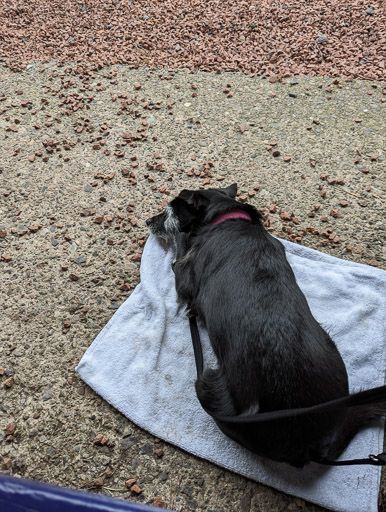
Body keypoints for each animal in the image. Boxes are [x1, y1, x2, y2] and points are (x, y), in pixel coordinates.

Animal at [146, 185, 386, 468]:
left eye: (170, 210)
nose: (148, 222)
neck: (225, 217)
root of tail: (307, 444)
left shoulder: (184, 276)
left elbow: (180, 252)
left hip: (206, 386)